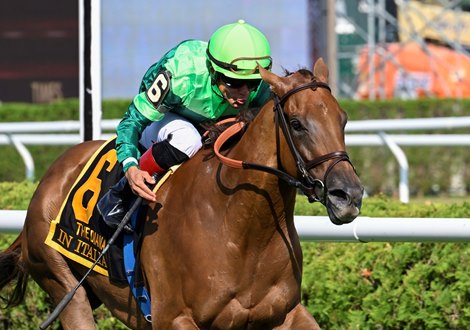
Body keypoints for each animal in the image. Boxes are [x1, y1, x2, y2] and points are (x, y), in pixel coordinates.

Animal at [0, 58, 364, 328]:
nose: (348, 195)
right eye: (297, 123)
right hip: (64, 285)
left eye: (343, 119)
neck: (242, 227)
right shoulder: (174, 318)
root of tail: (50, 177)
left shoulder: (285, 313)